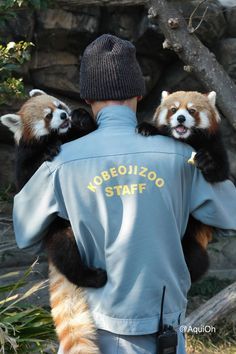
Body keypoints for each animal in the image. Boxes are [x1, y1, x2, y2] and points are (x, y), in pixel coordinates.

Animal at [0, 90, 103, 352]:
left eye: (59, 106)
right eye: (48, 116)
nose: (65, 115)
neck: (59, 138)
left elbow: (87, 129)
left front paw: (81, 117)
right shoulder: (24, 162)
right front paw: (48, 151)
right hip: (60, 233)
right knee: (67, 254)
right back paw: (92, 277)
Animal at [137, 91, 230, 282]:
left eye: (192, 110)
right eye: (173, 110)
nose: (180, 118)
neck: (188, 140)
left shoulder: (215, 144)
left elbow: (220, 173)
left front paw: (207, 161)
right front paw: (147, 128)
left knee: (194, 258)